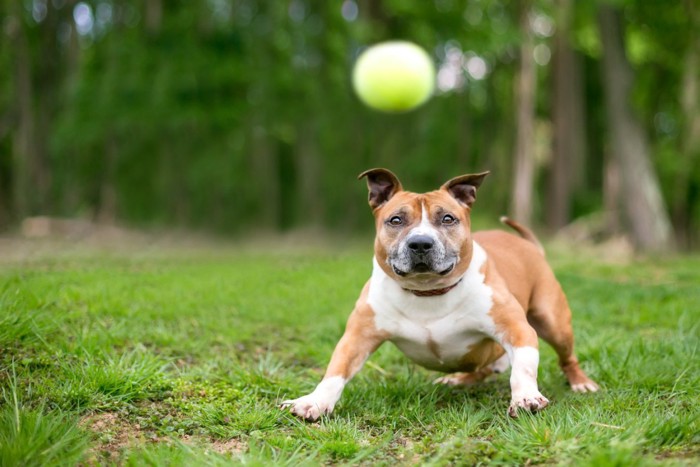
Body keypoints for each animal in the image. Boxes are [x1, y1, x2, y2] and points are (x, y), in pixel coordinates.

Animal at [282, 168, 600, 420]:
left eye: (447, 219)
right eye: (396, 220)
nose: (421, 243)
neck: (428, 292)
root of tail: (530, 245)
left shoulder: (517, 329)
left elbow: (523, 366)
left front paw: (525, 397)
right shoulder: (357, 337)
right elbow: (335, 371)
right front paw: (314, 402)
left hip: (553, 322)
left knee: (566, 357)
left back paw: (581, 383)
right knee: (483, 366)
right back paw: (459, 379)